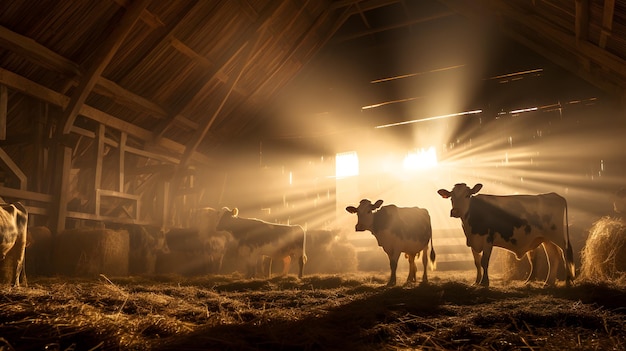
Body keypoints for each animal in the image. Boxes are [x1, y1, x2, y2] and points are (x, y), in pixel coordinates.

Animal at [436, 183, 572, 288]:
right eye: (451, 197)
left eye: (467, 195)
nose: (455, 211)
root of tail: (553, 195)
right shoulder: (473, 242)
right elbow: (477, 263)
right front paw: (476, 282)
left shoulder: (488, 240)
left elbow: (484, 262)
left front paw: (485, 282)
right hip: (546, 239)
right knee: (553, 257)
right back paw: (548, 283)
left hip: (557, 235)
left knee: (565, 253)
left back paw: (568, 281)